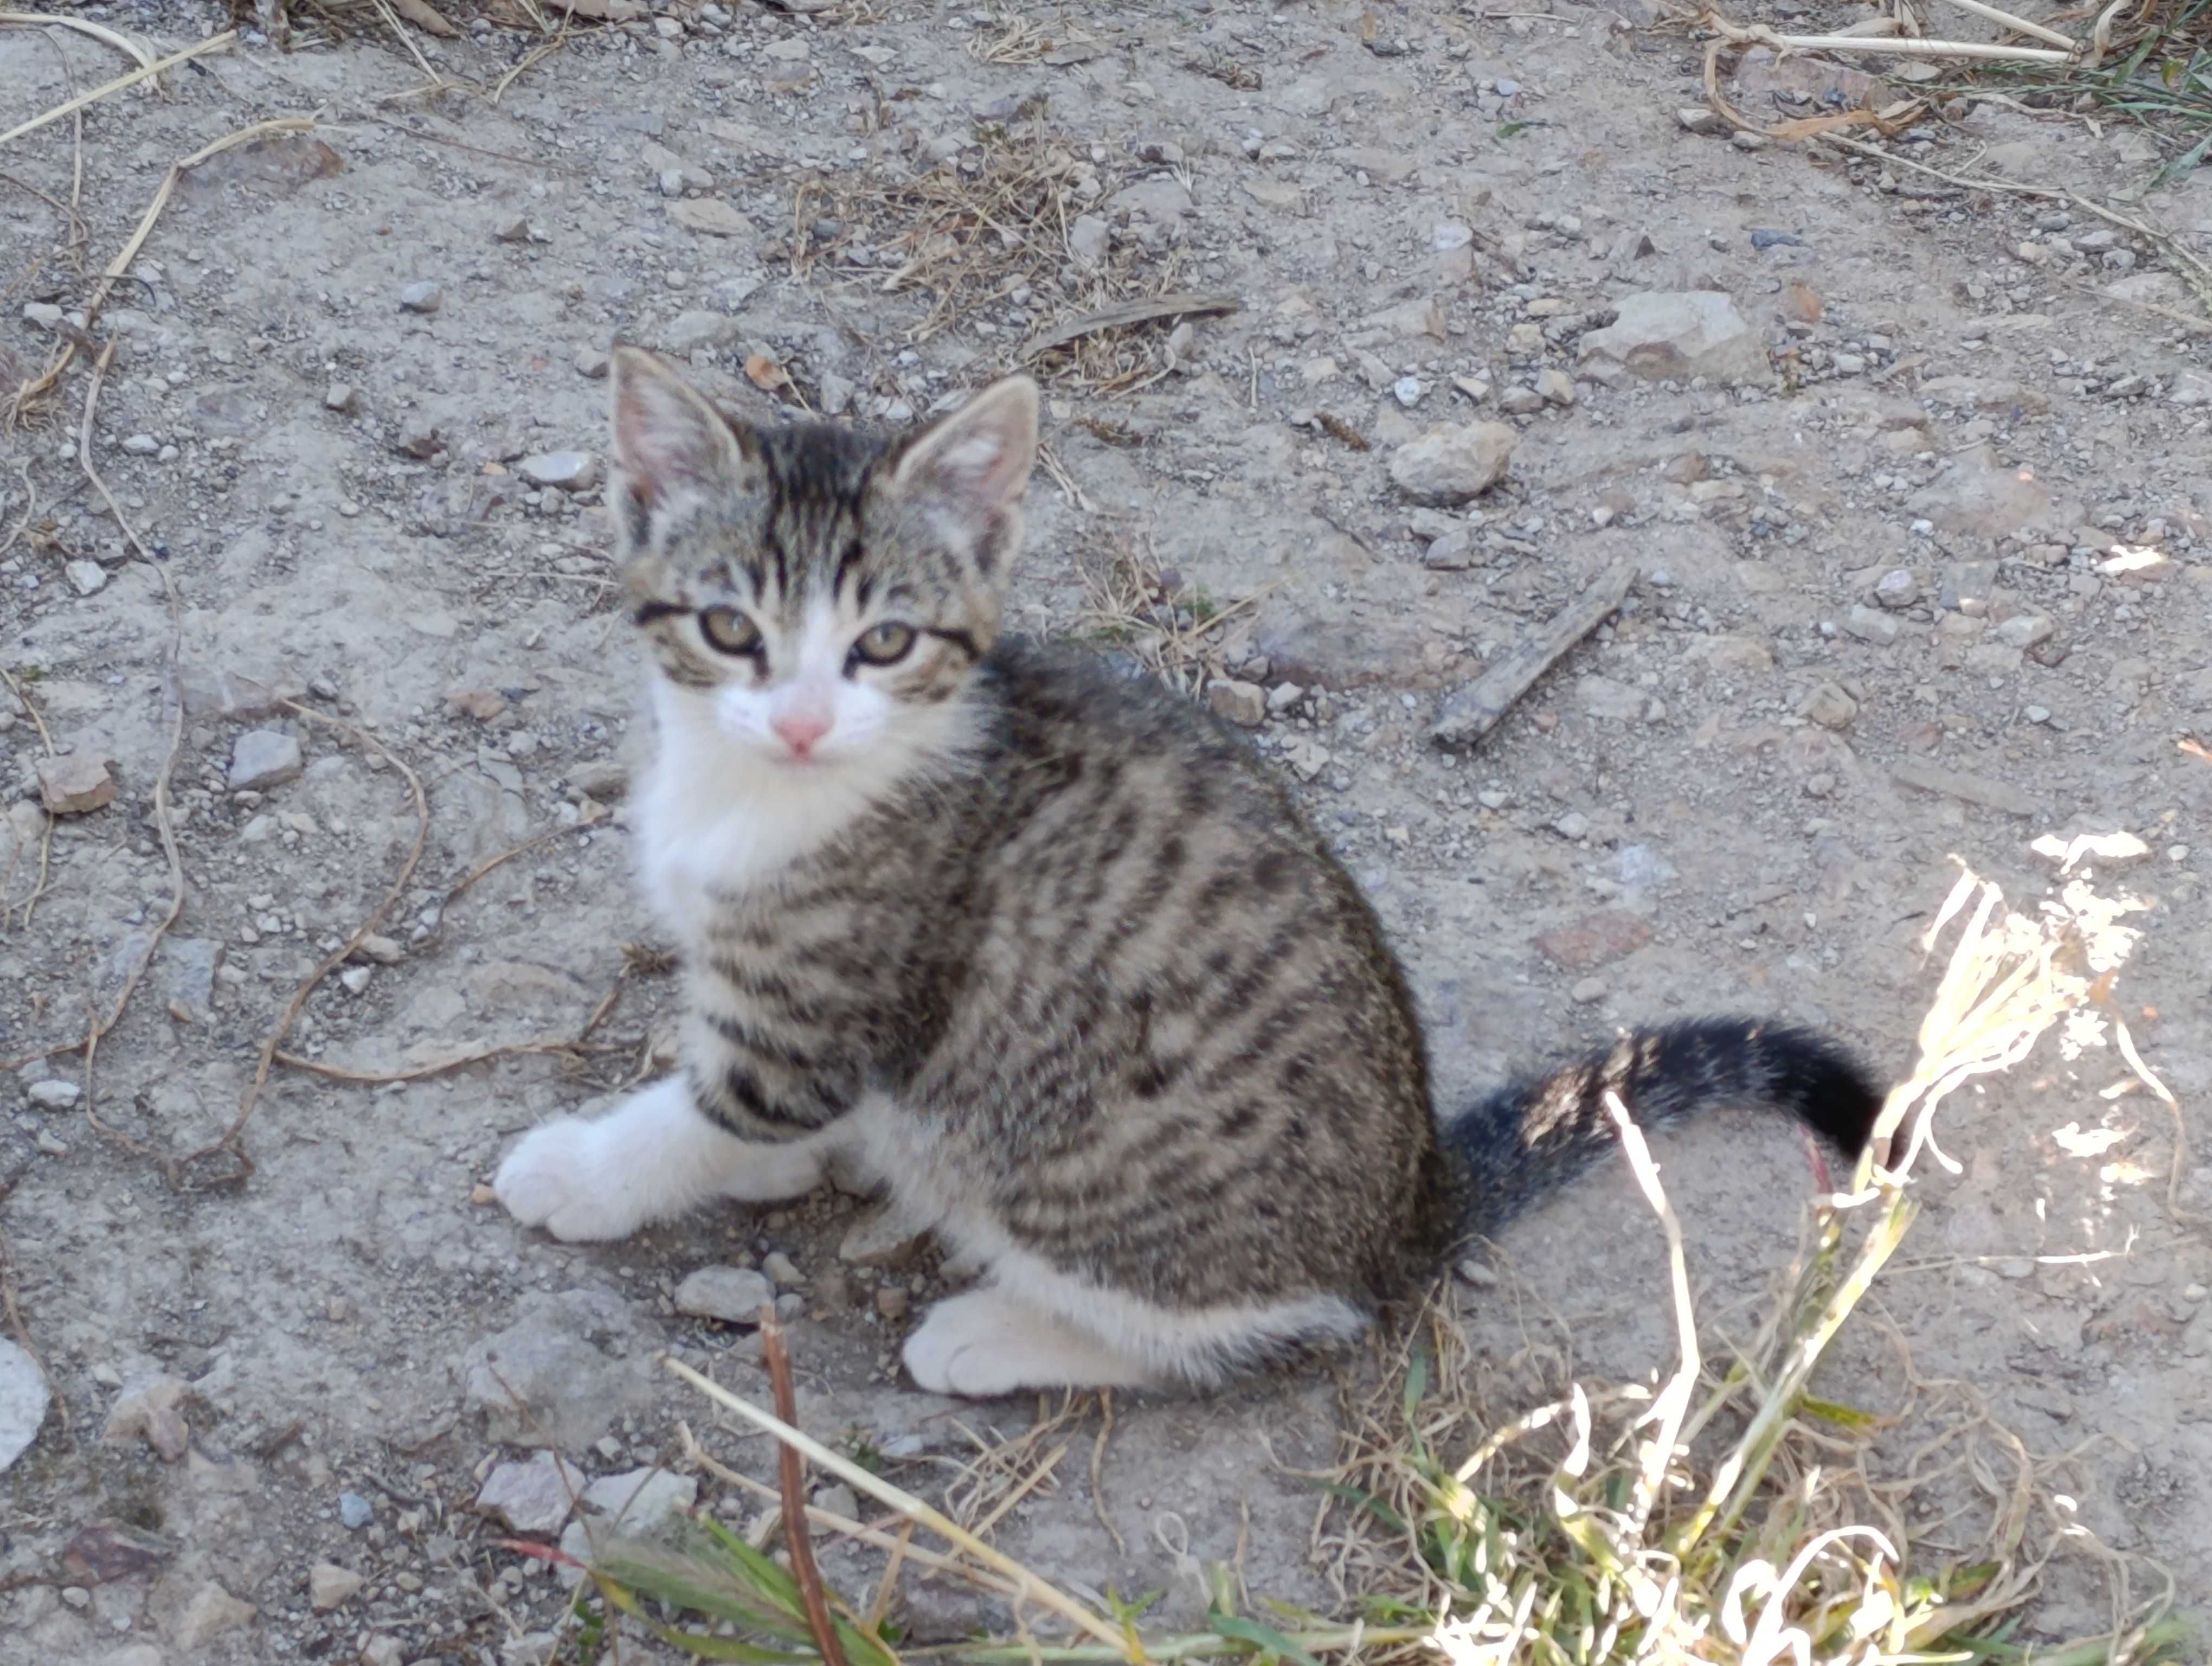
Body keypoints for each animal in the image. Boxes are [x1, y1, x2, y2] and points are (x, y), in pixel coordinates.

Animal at [488, 354, 1885, 1407]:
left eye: (882, 641)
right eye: (731, 629)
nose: (797, 721)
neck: (757, 794)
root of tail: (1411, 1204)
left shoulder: (824, 1002)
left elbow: (715, 1110)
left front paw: (591, 1175)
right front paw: (790, 1163)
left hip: (1079, 1180)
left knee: (1273, 1326)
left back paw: (1002, 1333)